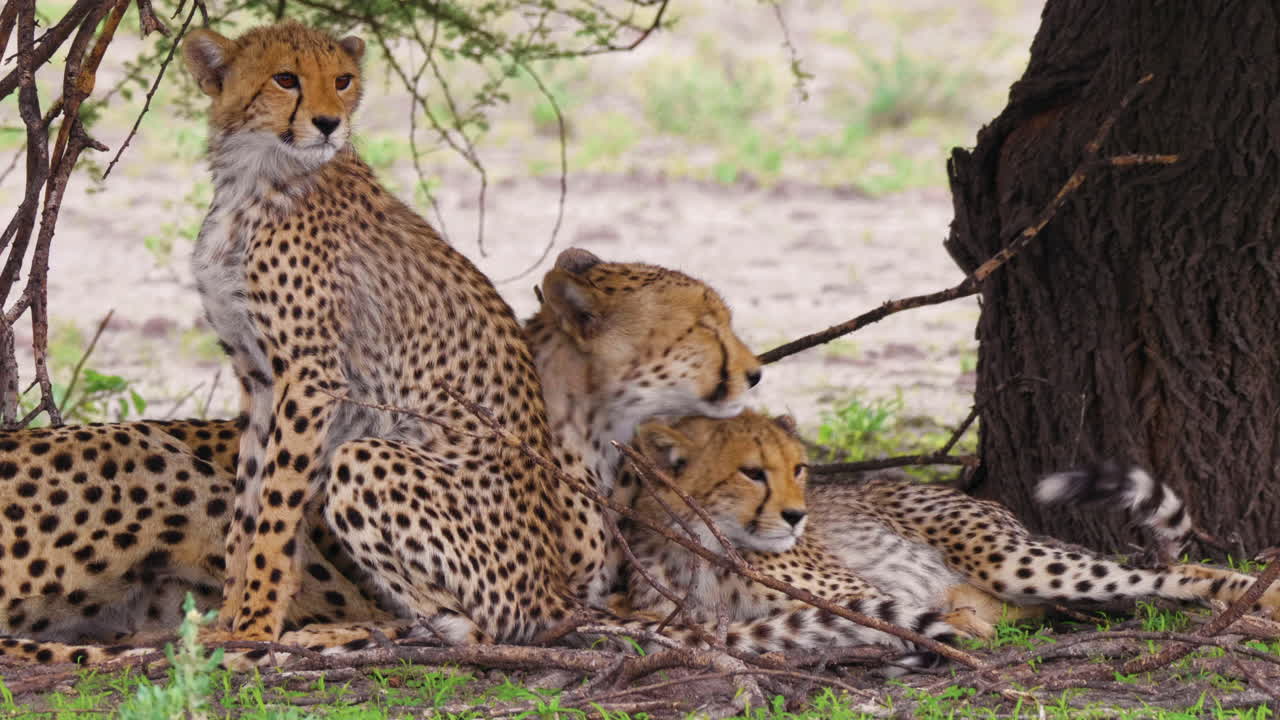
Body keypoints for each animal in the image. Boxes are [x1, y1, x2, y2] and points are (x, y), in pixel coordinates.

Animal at [616, 411, 1280, 660]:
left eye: (799, 467)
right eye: (752, 472)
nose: (798, 514)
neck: (708, 543)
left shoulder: (863, 596)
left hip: (1014, 558)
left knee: (1168, 571)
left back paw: (1262, 598)